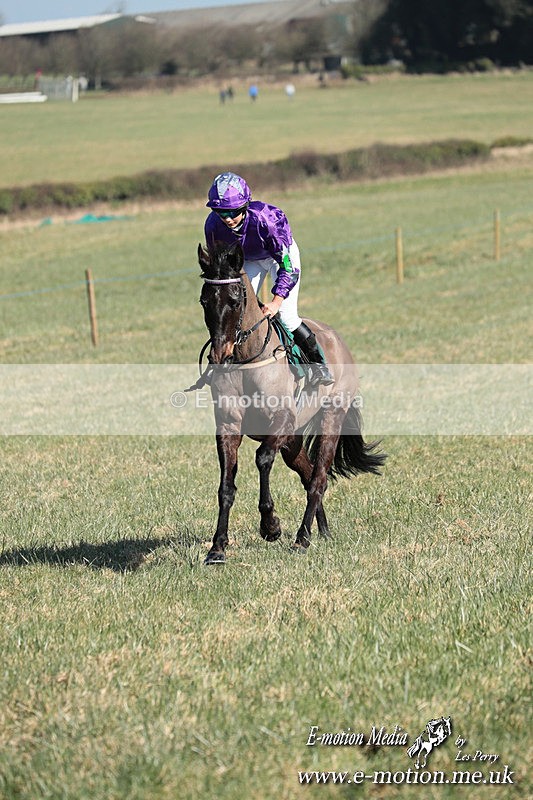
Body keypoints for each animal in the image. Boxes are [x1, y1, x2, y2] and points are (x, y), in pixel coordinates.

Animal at [194, 241, 385, 565]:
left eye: (235, 301)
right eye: (204, 301)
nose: (220, 356)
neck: (248, 358)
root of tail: (338, 340)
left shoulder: (280, 422)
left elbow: (262, 459)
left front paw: (270, 525)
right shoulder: (229, 427)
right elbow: (226, 487)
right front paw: (217, 548)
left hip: (330, 420)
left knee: (319, 478)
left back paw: (302, 538)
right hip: (293, 441)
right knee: (309, 477)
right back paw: (322, 532)